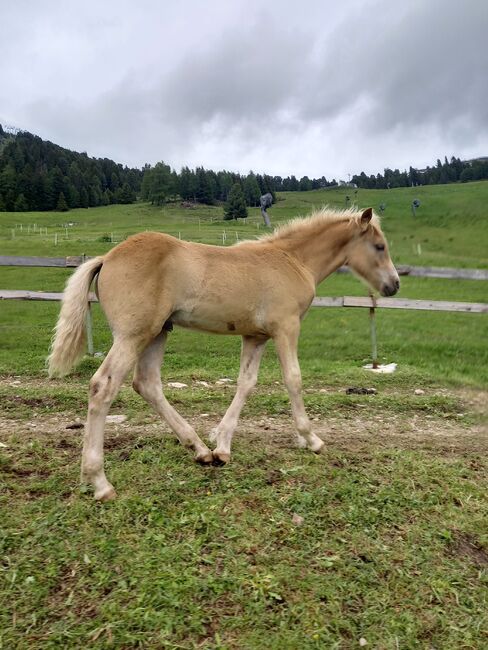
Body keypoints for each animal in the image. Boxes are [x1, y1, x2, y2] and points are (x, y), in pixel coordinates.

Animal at [48, 205, 400, 498]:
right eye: (380, 247)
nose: (394, 285)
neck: (293, 260)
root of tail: (106, 257)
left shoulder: (255, 336)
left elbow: (246, 383)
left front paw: (222, 445)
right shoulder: (286, 328)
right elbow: (293, 379)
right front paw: (311, 439)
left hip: (158, 332)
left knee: (146, 383)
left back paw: (200, 450)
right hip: (133, 335)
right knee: (103, 385)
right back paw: (99, 482)